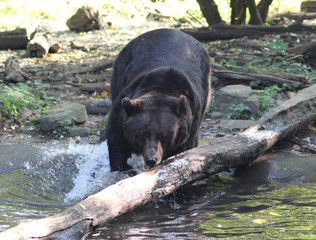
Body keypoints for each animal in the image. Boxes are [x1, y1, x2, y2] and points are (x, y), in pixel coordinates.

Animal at [101, 28, 210, 171]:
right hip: (121, 69)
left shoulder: (190, 121)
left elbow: (184, 148)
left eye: (163, 136)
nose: (151, 159)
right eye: (142, 134)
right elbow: (117, 141)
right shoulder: (123, 109)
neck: (162, 88)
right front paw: (122, 166)